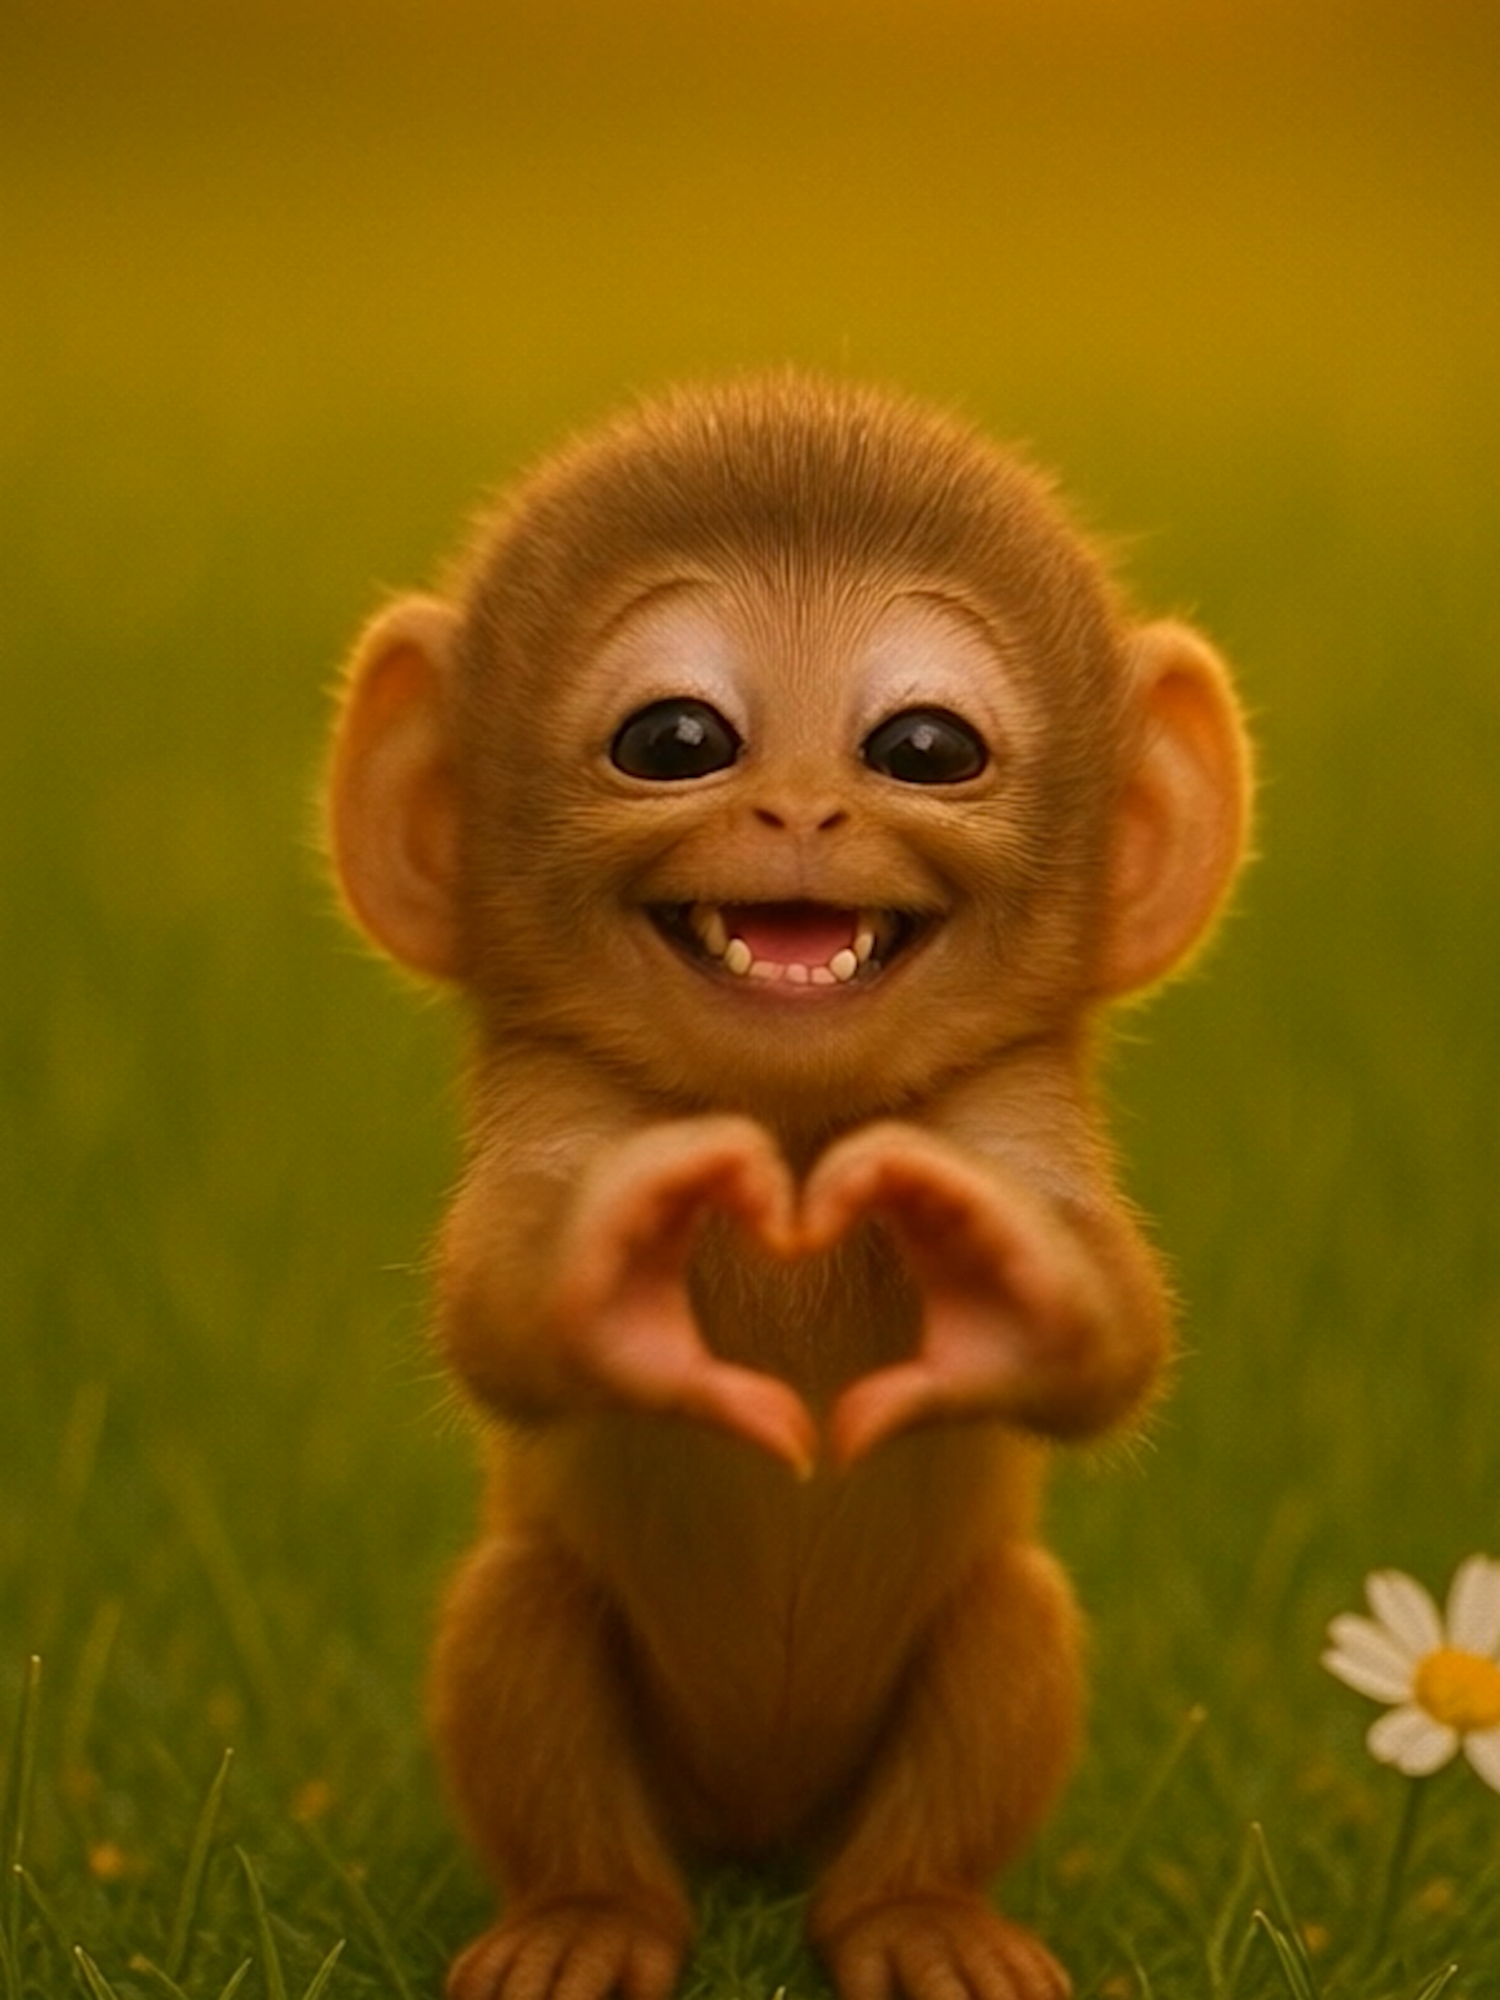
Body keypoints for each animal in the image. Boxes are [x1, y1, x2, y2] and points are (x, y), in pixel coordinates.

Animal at [325, 372, 1251, 2000]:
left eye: (926, 749)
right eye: (676, 738)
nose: (805, 813)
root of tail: (755, 1837)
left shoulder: (1011, 1104)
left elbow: (1116, 1340)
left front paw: (997, 1252)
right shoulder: (560, 1101)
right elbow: (499, 1302)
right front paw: (613, 1250)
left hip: (934, 1703)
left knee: (1006, 1638)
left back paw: (920, 1918)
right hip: (599, 1710)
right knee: (521, 1623)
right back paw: (588, 1918)